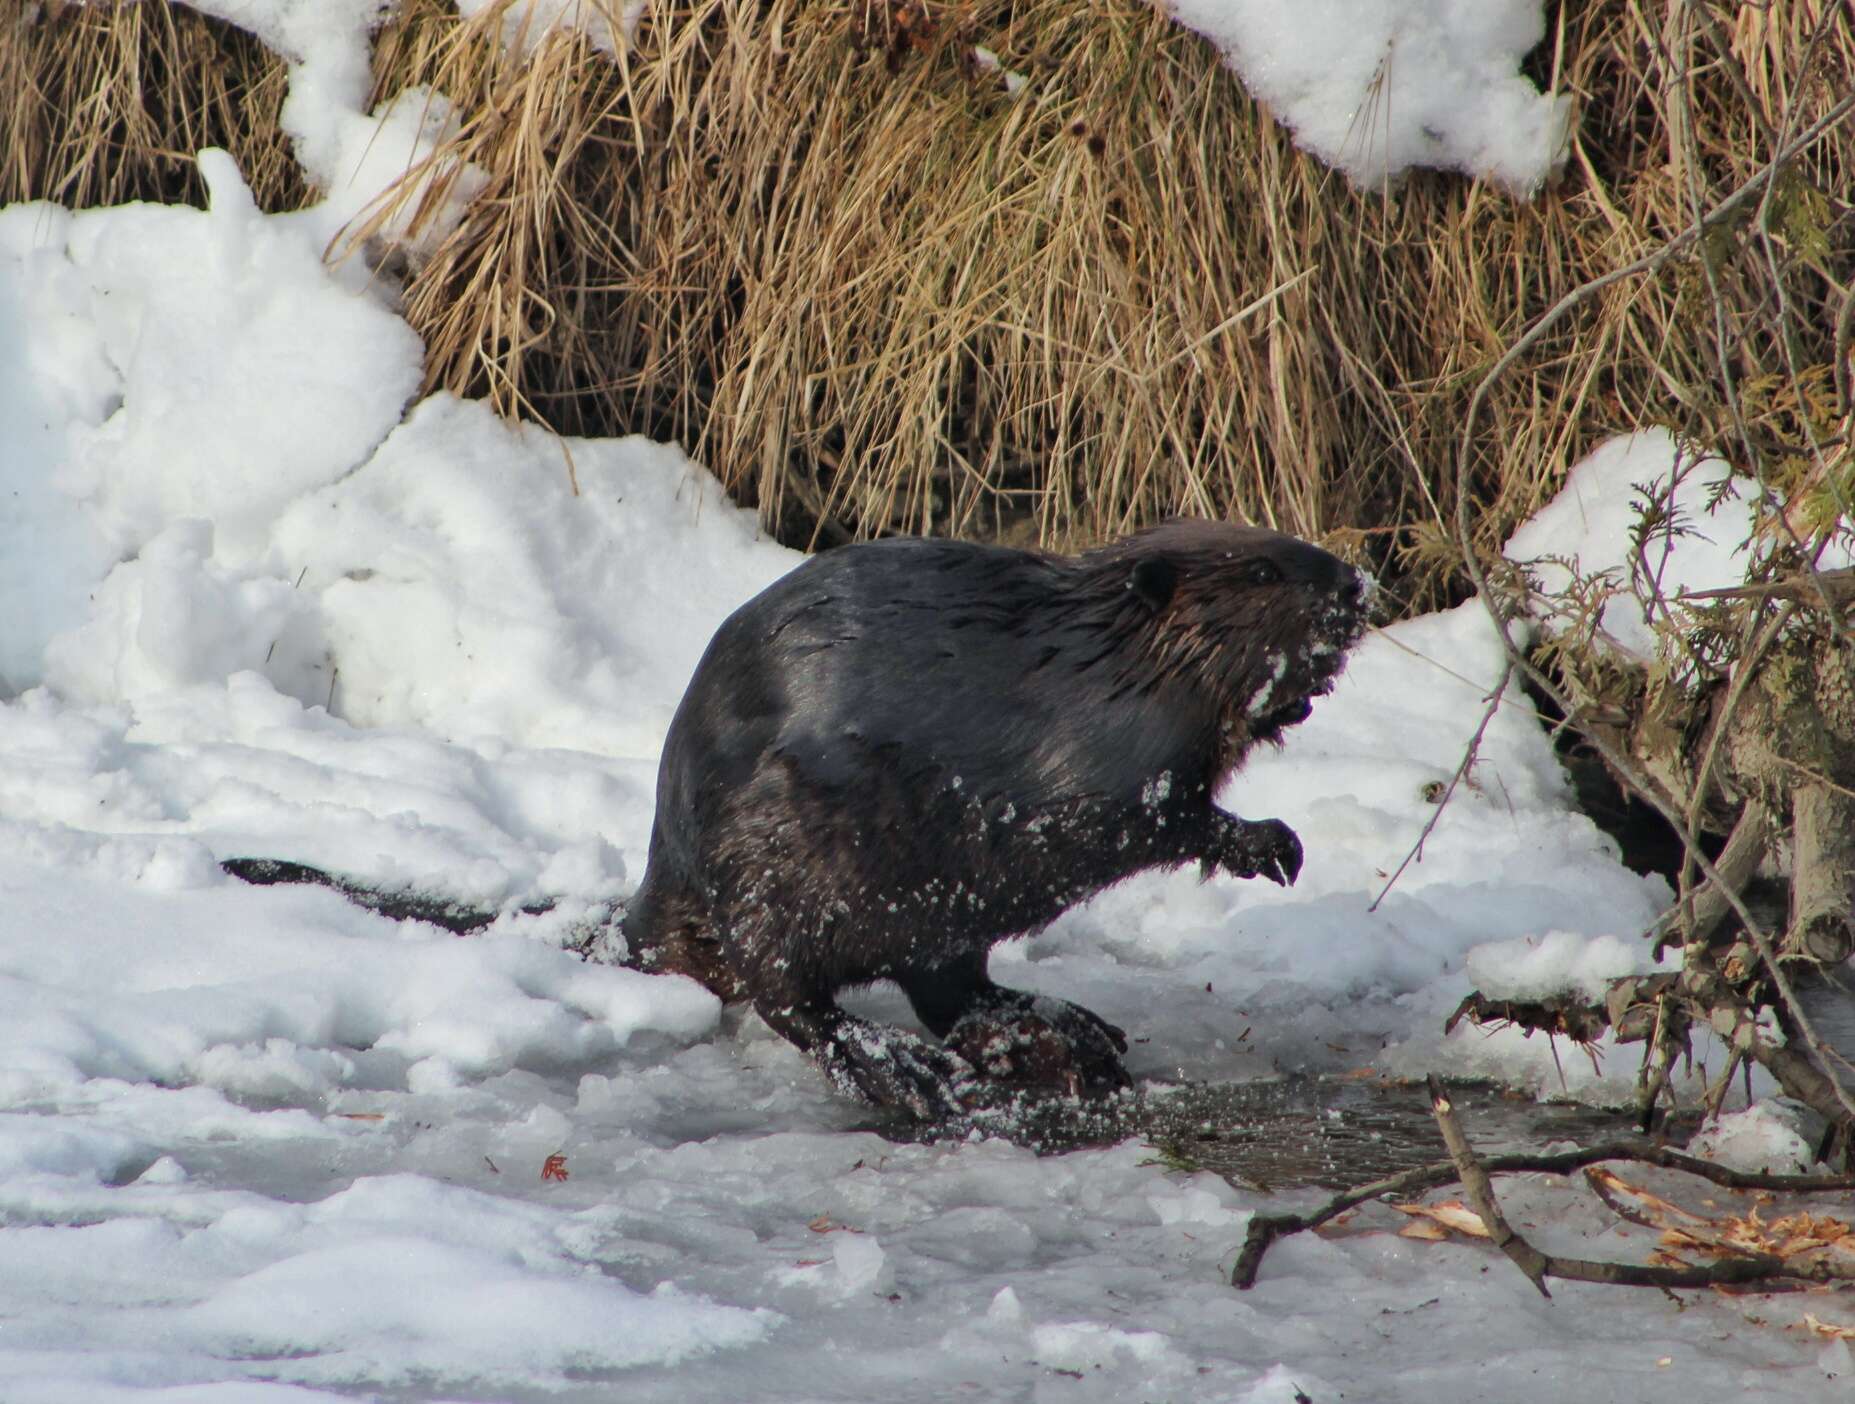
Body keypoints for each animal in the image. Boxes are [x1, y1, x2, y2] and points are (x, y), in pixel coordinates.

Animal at [626, 519, 1380, 1120]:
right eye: (1263, 572)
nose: (1354, 584)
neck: (1105, 663)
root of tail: (647, 904)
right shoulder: (1096, 761)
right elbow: (1150, 814)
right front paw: (1274, 844)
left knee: (951, 993)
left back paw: (1062, 1029)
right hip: (771, 861)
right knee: (789, 997)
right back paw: (903, 1068)